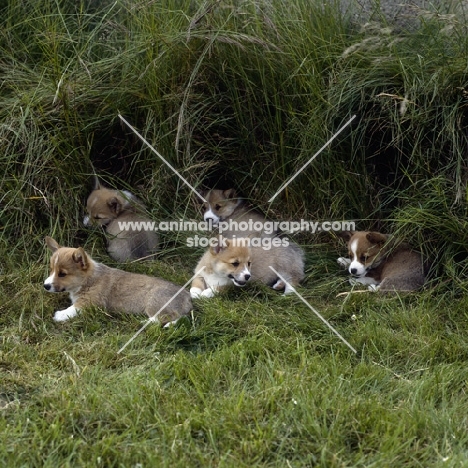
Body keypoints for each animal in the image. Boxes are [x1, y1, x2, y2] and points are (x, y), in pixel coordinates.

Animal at [42, 236, 192, 324]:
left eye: (62, 274)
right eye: (51, 270)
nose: (45, 286)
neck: (89, 279)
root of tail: (187, 297)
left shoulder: (89, 302)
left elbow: (73, 309)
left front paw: (60, 315)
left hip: (154, 303)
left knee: (169, 316)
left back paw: (145, 322)